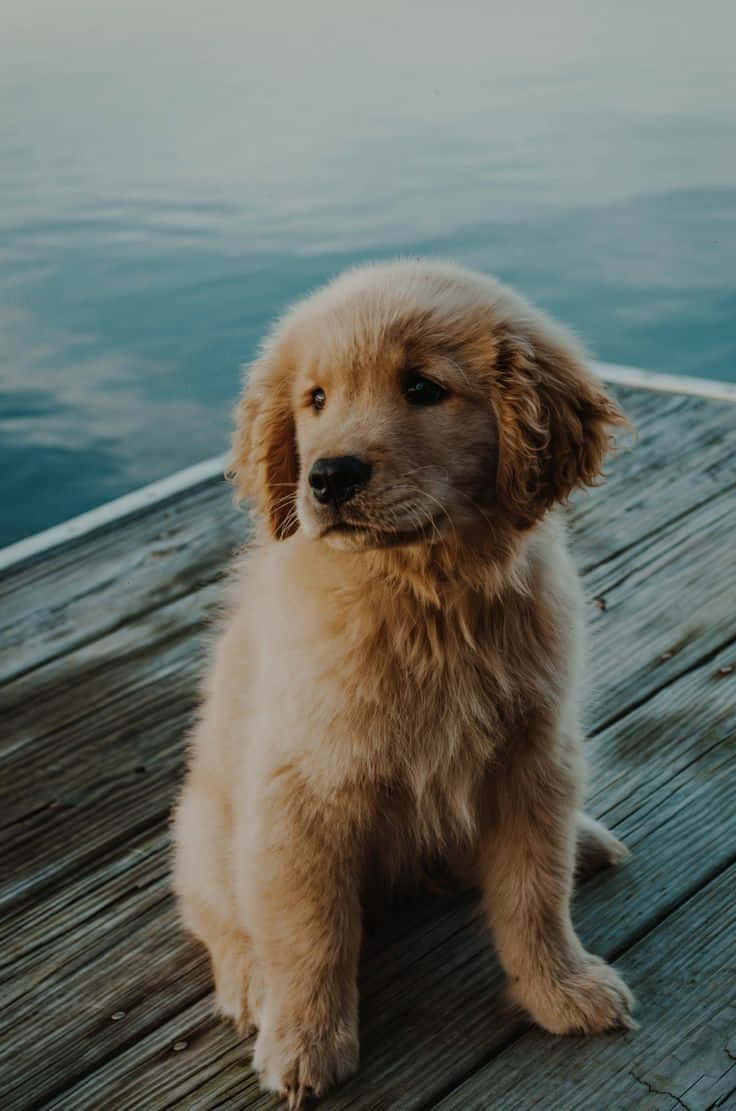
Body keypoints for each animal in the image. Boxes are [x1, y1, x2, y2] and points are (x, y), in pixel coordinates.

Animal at [173, 257, 635, 1102]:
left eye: (423, 387)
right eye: (316, 399)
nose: (328, 477)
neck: (425, 594)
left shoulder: (533, 756)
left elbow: (534, 893)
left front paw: (562, 988)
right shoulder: (301, 792)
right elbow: (311, 931)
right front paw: (305, 1042)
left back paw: (583, 839)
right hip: (206, 825)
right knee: (222, 913)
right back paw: (252, 986)